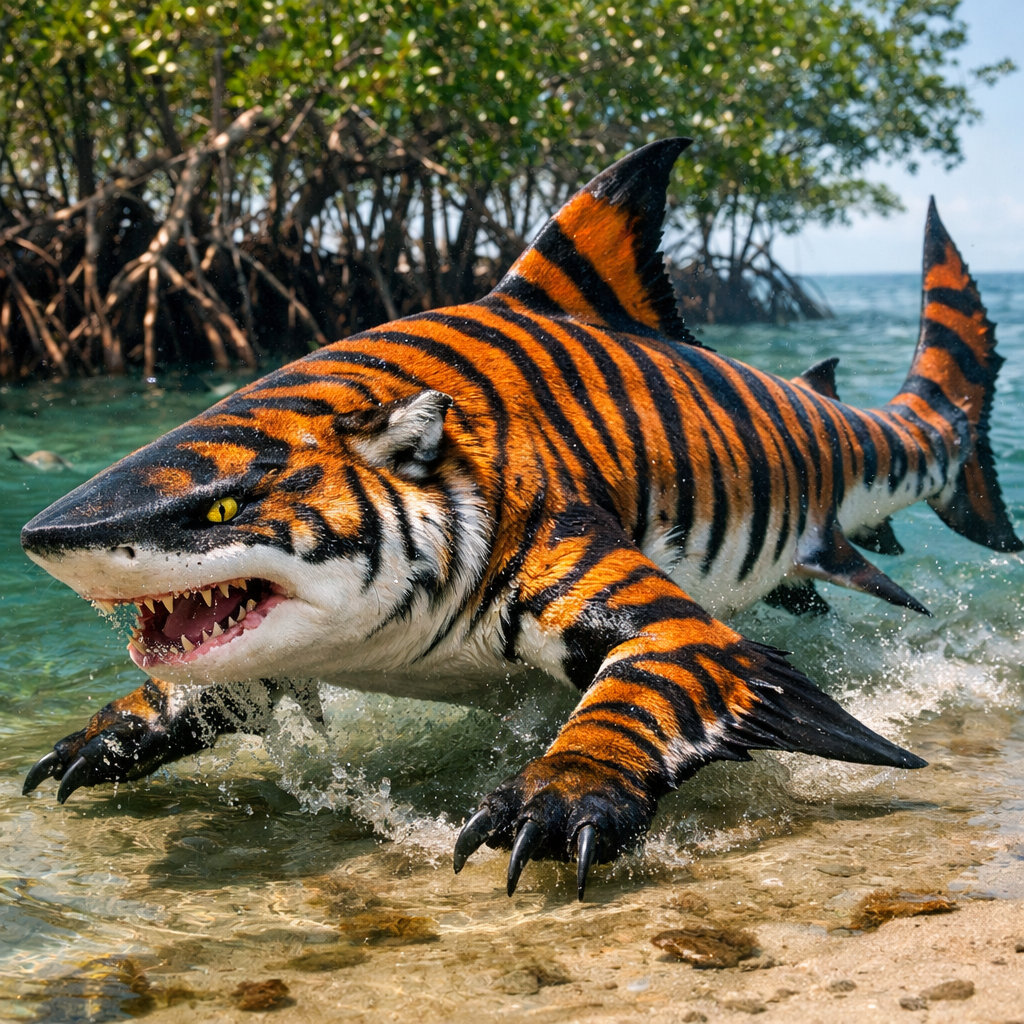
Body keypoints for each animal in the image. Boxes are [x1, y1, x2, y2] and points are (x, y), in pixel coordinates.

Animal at [20, 138, 1020, 901]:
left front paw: (563, 795)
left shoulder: (633, 597)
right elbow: (197, 686)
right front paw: (111, 729)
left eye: (220, 506)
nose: (50, 544)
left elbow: (657, 681)